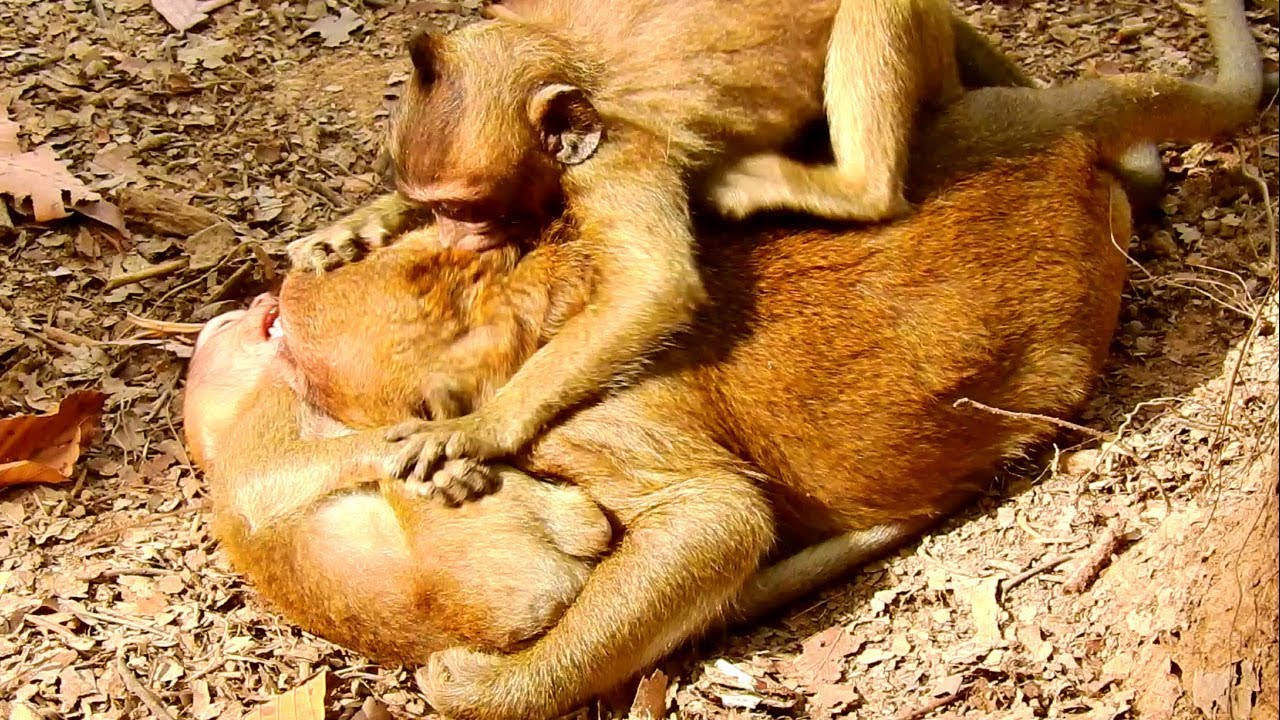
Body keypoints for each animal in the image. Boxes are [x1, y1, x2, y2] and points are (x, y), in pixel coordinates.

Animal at [281, 0, 1045, 496]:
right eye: (434, 203)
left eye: (465, 208)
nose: (450, 233)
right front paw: (357, 226)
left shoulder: (618, 155)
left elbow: (656, 286)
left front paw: (480, 427)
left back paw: (850, 188)